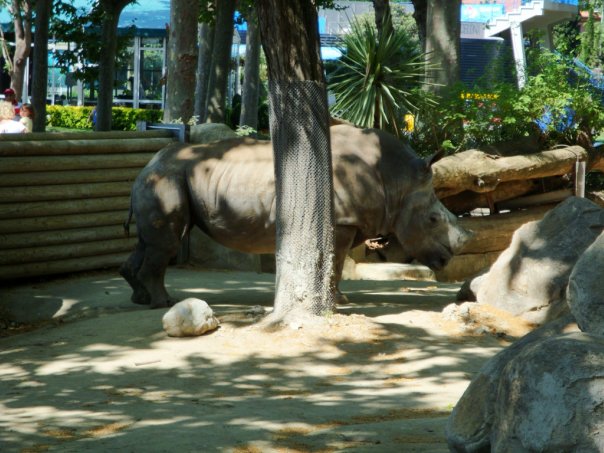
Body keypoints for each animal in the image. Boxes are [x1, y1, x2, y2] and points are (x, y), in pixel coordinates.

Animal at [120, 124, 471, 308]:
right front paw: (338, 301)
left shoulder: (350, 221)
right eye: (433, 220)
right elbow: (336, 263)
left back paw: (139, 297)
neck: (397, 180)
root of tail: (146, 165)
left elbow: (336, 263)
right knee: (166, 243)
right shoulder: (342, 221)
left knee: (148, 242)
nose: (448, 259)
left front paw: (339, 299)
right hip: (167, 179)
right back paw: (163, 303)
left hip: (163, 179)